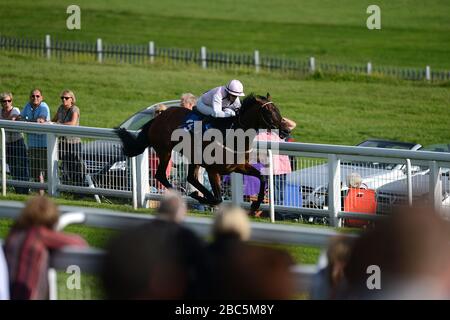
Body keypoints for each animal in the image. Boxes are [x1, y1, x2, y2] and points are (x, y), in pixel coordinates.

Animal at [117, 93, 288, 212]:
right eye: (269, 112)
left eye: (278, 109)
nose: (286, 130)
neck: (232, 135)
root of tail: (158, 117)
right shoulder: (212, 170)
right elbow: (218, 198)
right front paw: (204, 198)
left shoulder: (238, 167)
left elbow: (262, 178)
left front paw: (255, 205)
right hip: (165, 150)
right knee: (161, 175)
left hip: (193, 157)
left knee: (190, 177)